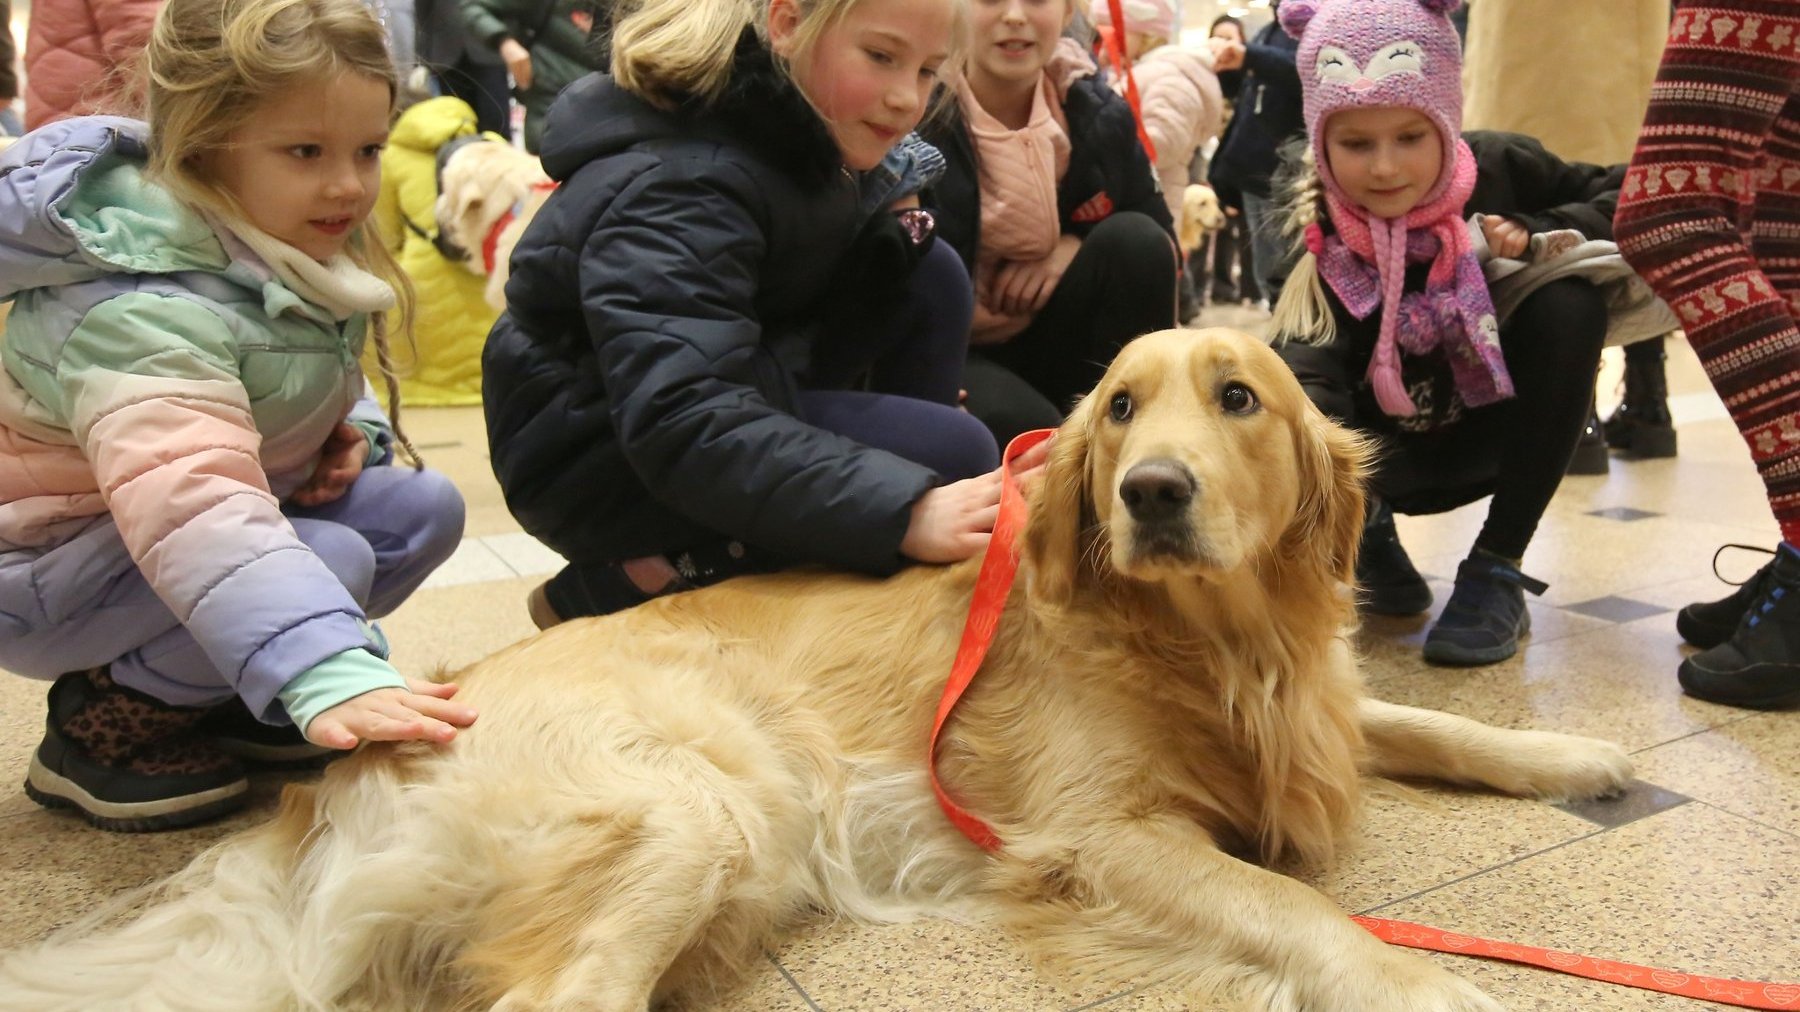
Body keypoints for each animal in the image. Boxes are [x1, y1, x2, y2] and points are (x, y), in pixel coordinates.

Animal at [0, 331, 1634, 1008]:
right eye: (1116, 408)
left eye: (1237, 399)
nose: (1154, 494)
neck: (1207, 638)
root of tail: (350, 769)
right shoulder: (1098, 839)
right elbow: (1300, 909)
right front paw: (1430, 988)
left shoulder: (1317, 708)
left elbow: (1423, 719)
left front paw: (1575, 757)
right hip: (691, 810)